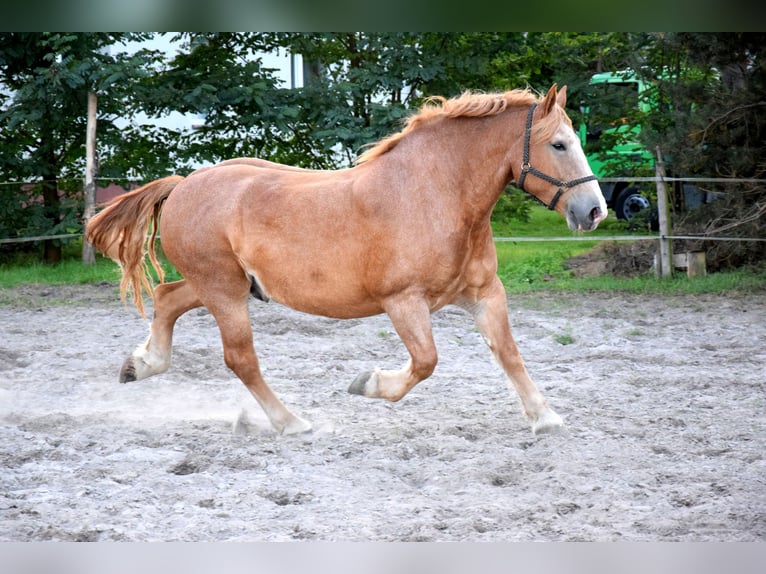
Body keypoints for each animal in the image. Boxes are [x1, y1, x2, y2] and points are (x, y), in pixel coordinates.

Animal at [86, 84, 607, 436]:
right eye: (558, 144)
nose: (594, 211)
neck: (436, 194)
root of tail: (183, 185)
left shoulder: (483, 294)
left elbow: (509, 354)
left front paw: (545, 417)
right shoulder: (404, 302)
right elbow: (425, 362)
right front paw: (368, 384)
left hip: (220, 285)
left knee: (166, 297)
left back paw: (139, 365)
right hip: (224, 292)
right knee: (240, 359)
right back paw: (291, 422)